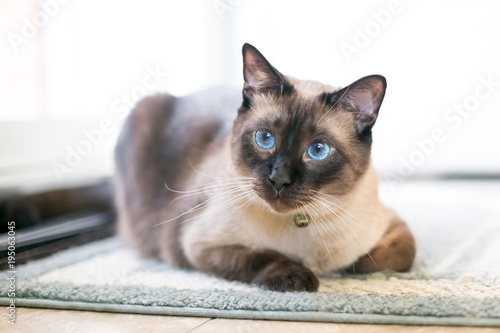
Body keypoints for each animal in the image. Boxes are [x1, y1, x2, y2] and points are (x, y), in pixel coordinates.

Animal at [115, 42, 416, 290]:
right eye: (264, 139)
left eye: (318, 151)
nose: (279, 179)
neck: (302, 224)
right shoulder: (199, 245)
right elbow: (263, 256)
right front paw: (299, 276)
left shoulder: (392, 224)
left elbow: (397, 256)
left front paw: (353, 266)